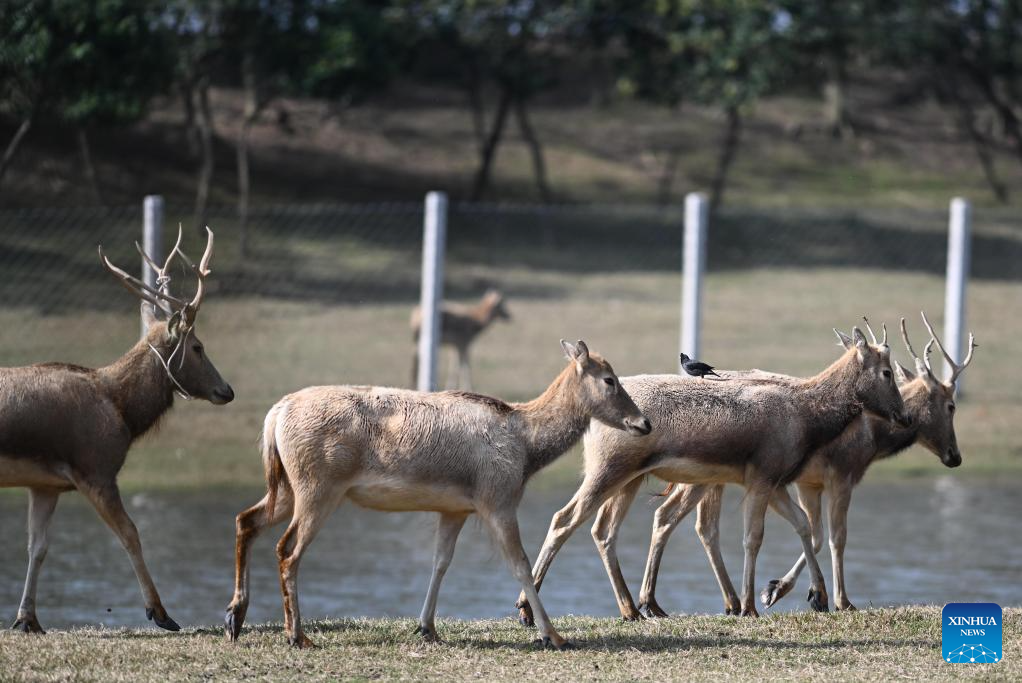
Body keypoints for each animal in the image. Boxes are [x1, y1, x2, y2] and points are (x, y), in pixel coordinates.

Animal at [0, 229, 234, 633]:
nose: (227, 391)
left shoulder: (45, 484)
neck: (122, 411)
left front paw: (27, 619)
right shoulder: (96, 469)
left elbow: (37, 547)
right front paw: (161, 613)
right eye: (198, 346)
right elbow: (130, 534)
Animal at [226, 339, 649, 650]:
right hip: (318, 486)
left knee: (246, 519)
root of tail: (274, 415)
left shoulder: (456, 509)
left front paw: (427, 628)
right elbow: (520, 564)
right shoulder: (497, 498)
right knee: (287, 549)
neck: (526, 449)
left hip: (286, 485)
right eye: (609, 379)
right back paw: (296, 635)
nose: (643, 423)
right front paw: (553, 635)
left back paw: (235, 618)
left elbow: (440, 562)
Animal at [515, 325, 907, 625]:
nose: (904, 416)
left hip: (630, 479)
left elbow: (802, 525)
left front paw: (814, 595)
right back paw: (526, 609)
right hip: (607, 468)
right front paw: (751, 605)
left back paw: (633, 609)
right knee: (565, 518)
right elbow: (753, 538)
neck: (808, 419)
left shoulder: (776, 481)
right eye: (887, 372)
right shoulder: (763, 477)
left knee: (604, 530)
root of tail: (591, 422)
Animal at [633, 314, 977, 617]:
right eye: (951, 406)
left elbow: (811, 531)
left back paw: (691, 601)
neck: (873, 439)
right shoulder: (833, 477)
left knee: (674, 518)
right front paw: (832, 599)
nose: (955, 455)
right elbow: (832, 536)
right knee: (698, 524)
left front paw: (787, 590)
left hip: (701, 478)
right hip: (702, 478)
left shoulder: (801, 482)